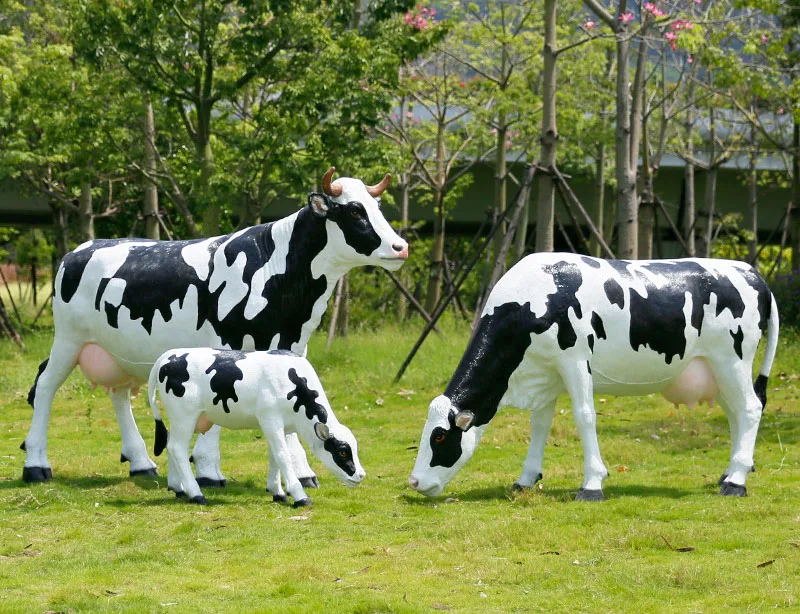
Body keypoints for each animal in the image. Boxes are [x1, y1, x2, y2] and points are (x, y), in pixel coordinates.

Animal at [23, 167, 407, 486]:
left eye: (377, 207)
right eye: (354, 211)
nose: (400, 246)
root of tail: (82, 248)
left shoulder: (292, 347)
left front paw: (301, 472)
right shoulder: (226, 345)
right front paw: (208, 469)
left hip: (118, 350)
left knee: (118, 394)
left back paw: (142, 463)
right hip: (69, 338)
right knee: (45, 385)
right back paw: (36, 465)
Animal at [148, 348, 364, 506]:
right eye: (342, 451)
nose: (361, 475)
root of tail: (169, 355)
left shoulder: (280, 426)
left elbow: (274, 456)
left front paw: (278, 492)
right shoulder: (270, 419)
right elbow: (283, 455)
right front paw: (300, 496)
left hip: (187, 419)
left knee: (170, 443)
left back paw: (178, 488)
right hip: (185, 415)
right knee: (178, 448)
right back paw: (196, 494)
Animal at [409, 253, 779, 500]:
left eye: (439, 437)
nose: (413, 482)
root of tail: (750, 271)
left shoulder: (573, 359)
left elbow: (585, 417)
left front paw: (592, 483)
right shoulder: (545, 372)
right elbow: (539, 425)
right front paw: (526, 479)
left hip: (733, 359)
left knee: (750, 408)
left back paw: (736, 481)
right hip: (717, 369)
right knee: (736, 412)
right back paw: (730, 471)